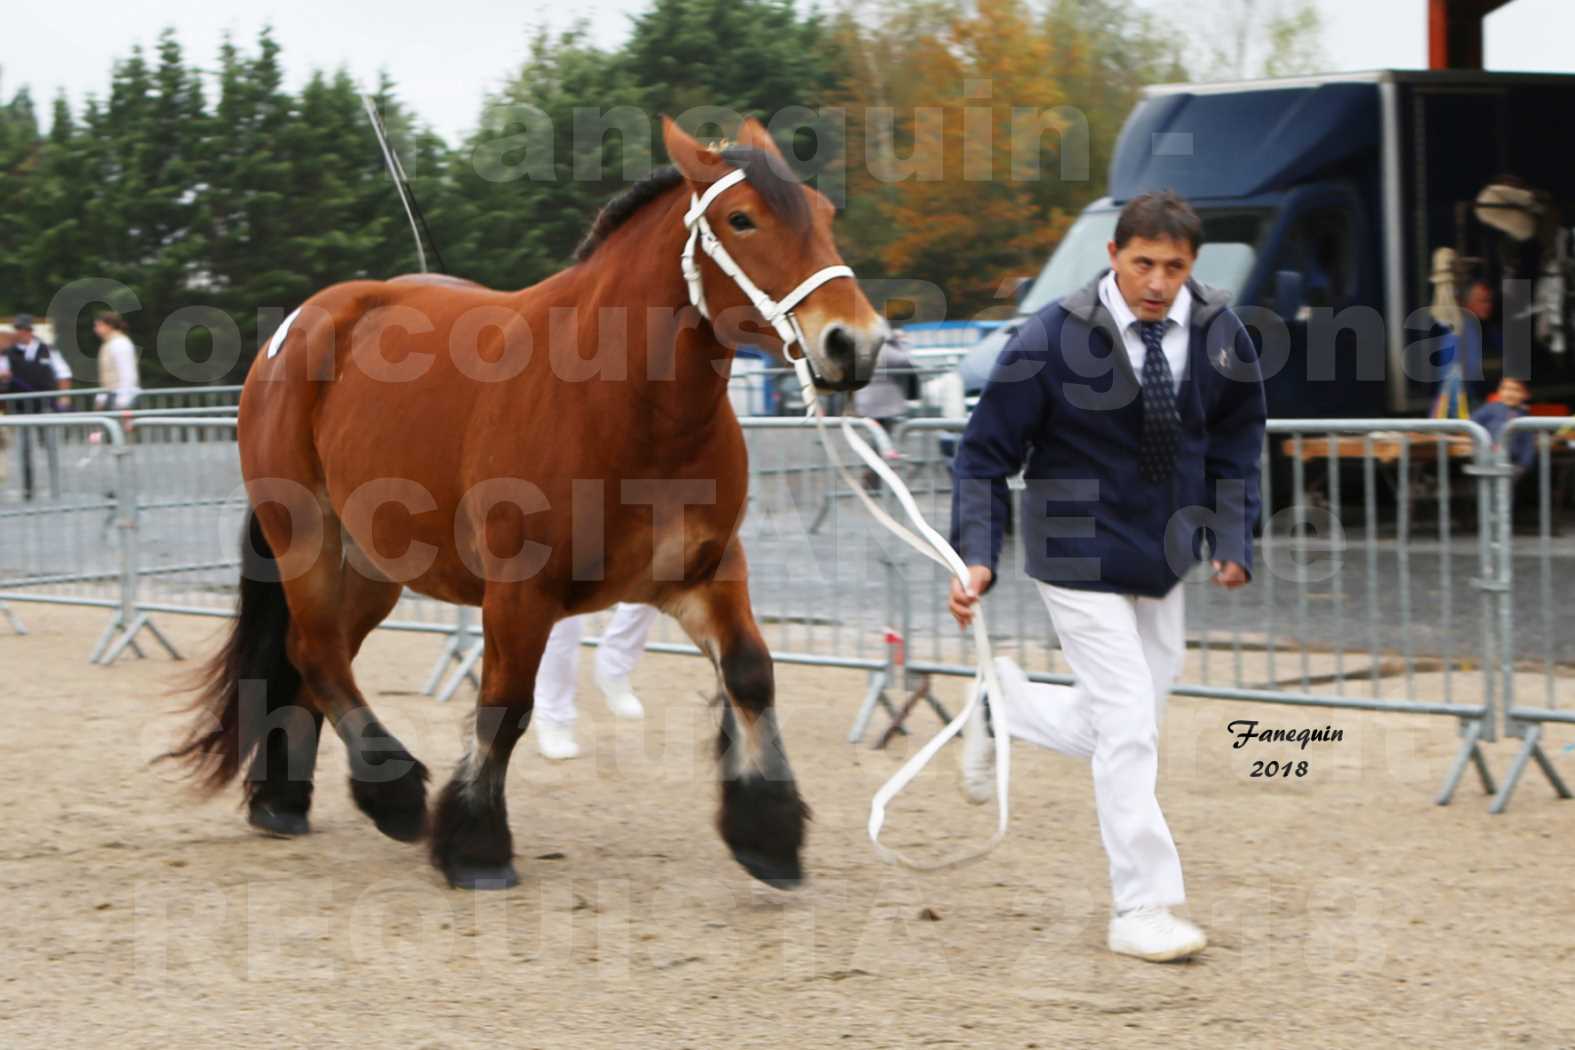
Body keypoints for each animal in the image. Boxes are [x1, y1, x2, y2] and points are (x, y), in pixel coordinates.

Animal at [174, 117, 894, 887]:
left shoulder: (704, 573)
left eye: (824, 214)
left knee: (321, 655)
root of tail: (306, 322)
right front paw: (474, 845)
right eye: (741, 219)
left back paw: (287, 799)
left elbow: (751, 676)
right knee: (314, 650)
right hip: (307, 541)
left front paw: (768, 830)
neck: (625, 406)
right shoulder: (520, 592)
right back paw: (390, 792)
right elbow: (505, 705)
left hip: (371, 566)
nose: (853, 342)